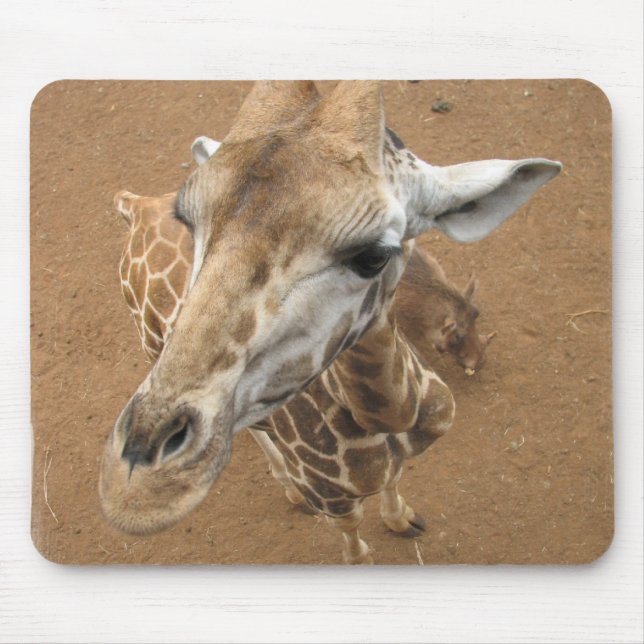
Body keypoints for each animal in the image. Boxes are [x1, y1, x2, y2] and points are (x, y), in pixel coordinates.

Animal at [100, 81, 561, 563]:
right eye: (190, 222)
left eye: (374, 255)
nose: (137, 491)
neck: (391, 423)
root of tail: (131, 205)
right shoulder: (333, 498)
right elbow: (353, 535)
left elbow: (396, 479)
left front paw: (402, 519)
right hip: (152, 347)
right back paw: (289, 491)